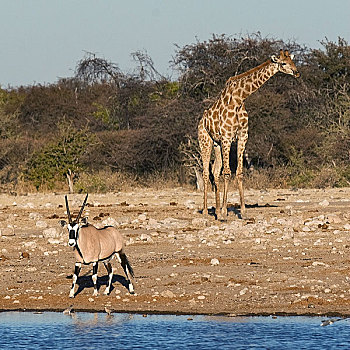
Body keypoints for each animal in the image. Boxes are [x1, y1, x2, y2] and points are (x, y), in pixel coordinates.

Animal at [198, 50, 300, 219]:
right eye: (283, 63)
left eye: (292, 61)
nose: (297, 72)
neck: (239, 99)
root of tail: (201, 121)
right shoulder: (227, 137)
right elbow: (227, 173)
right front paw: (225, 211)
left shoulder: (242, 136)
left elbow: (239, 172)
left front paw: (243, 211)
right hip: (204, 140)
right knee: (206, 173)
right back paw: (206, 211)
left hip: (216, 143)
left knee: (215, 171)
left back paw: (216, 211)